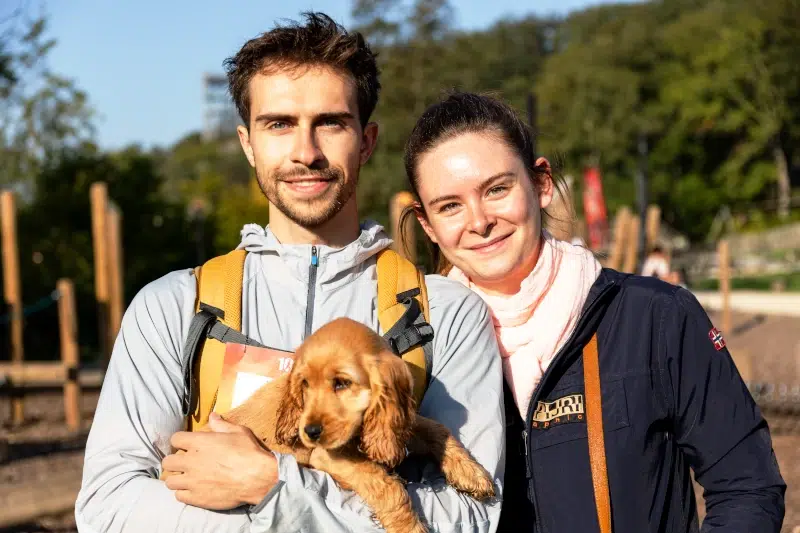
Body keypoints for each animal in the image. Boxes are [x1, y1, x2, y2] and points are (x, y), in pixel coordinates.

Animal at [167, 318, 494, 528]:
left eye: (341, 383)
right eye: (304, 384)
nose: (309, 432)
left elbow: (435, 428)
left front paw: (472, 473)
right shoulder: (327, 455)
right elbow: (388, 486)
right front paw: (409, 528)